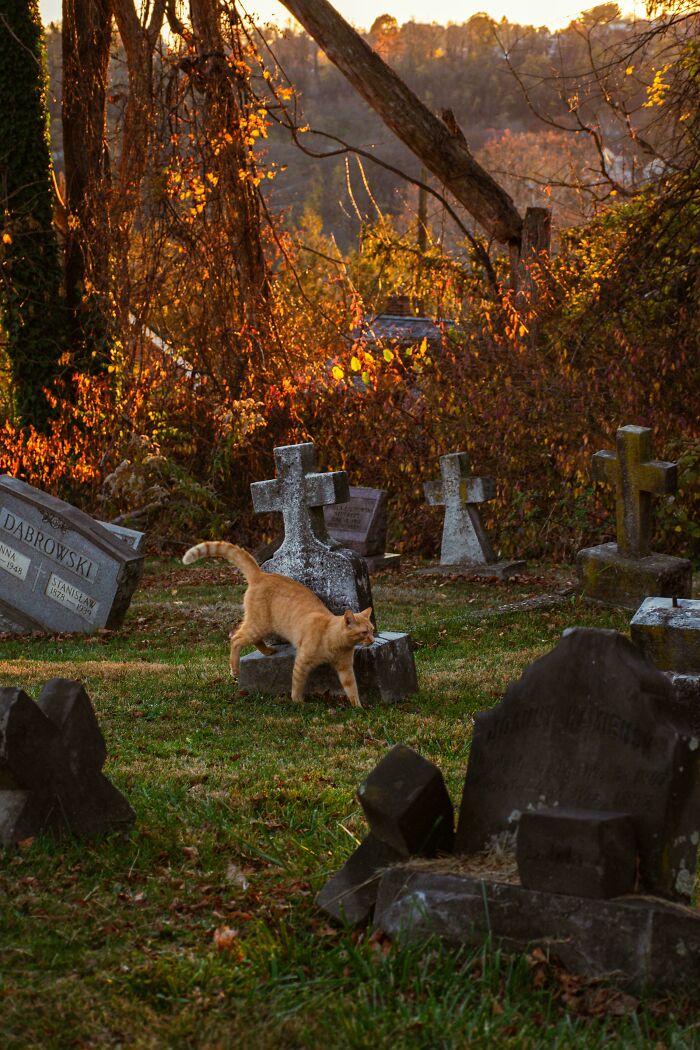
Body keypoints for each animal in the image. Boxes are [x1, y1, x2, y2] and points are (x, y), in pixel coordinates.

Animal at [183, 546, 375, 709]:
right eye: (364, 632)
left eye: (372, 630)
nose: (373, 640)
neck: (333, 640)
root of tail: (261, 574)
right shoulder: (302, 662)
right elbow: (297, 683)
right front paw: (298, 701)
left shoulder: (345, 669)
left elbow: (351, 688)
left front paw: (358, 707)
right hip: (259, 625)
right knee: (235, 638)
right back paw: (235, 670)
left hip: (261, 627)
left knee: (249, 639)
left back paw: (267, 651)